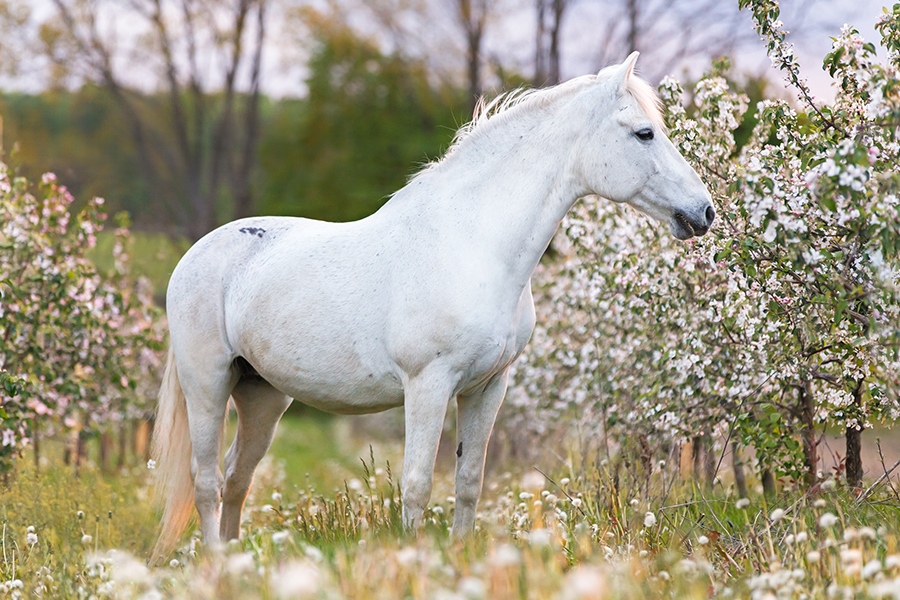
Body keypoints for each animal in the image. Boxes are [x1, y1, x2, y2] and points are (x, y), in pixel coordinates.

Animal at [149, 52, 712, 564]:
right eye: (644, 133)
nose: (703, 212)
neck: (473, 244)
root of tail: (196, 255)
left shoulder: (488, 386)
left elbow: (468, 480)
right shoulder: (428, 385)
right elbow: (418, 483)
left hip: (262, 395)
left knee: (236, 477)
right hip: (208, 383)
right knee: (205, 480)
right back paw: (215, 563)